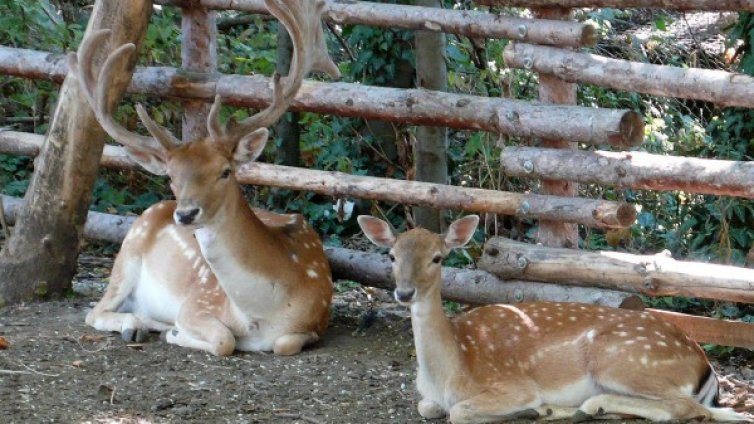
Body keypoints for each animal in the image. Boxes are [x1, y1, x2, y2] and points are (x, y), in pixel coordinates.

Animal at [70, 0, 338, 356]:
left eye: (225, 171)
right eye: (171, 176)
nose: (186, 214)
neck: (262, 314)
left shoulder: (316, 319)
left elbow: (283, 344)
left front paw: (173, 332)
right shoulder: (198, 302)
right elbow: (224, 341)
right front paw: (175, 333)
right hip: (126, 255)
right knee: (95, 311)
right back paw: (138, 325)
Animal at [360, 217, 748, 422]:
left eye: (438, 258)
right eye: (391, 255)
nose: (404, 293)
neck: (448, 373)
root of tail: (705, 366)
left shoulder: (513, 384)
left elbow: (459, 411)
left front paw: (529, 409)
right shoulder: (429, 397)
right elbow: (426, 407)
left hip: (623, 359)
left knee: (684, 407)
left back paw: (574, 407)